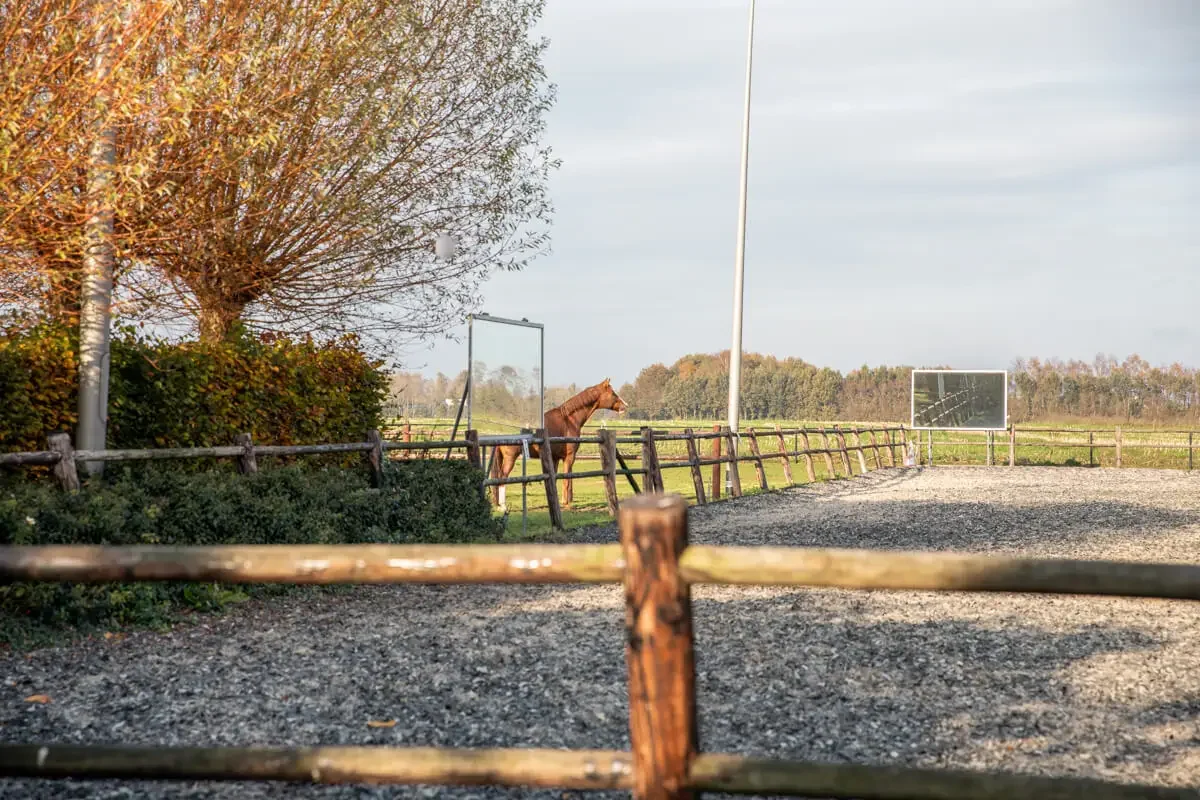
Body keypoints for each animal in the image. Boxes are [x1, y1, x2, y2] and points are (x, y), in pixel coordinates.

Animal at [487, 378, 628, 509]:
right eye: (613, 393)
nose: (625, 406)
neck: (568, 420)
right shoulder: (569, 457)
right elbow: (566, 479)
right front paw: (566, 503)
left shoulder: (554, 458)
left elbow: (553, 480)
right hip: (510, 459)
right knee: (502, 477)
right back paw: (503, 506)